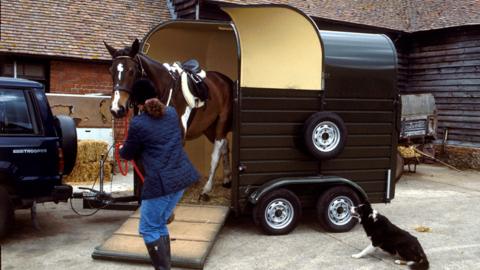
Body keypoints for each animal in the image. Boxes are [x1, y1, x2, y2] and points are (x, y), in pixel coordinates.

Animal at [104, 39, 232, 200]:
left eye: (131, 71)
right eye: (111, 71)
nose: (117, 108)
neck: (163, 90)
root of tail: (225, 80)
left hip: (222, 122)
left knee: (216, 153)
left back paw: (206, 189)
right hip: (208, 127)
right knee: (225, 146)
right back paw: (227, 179)